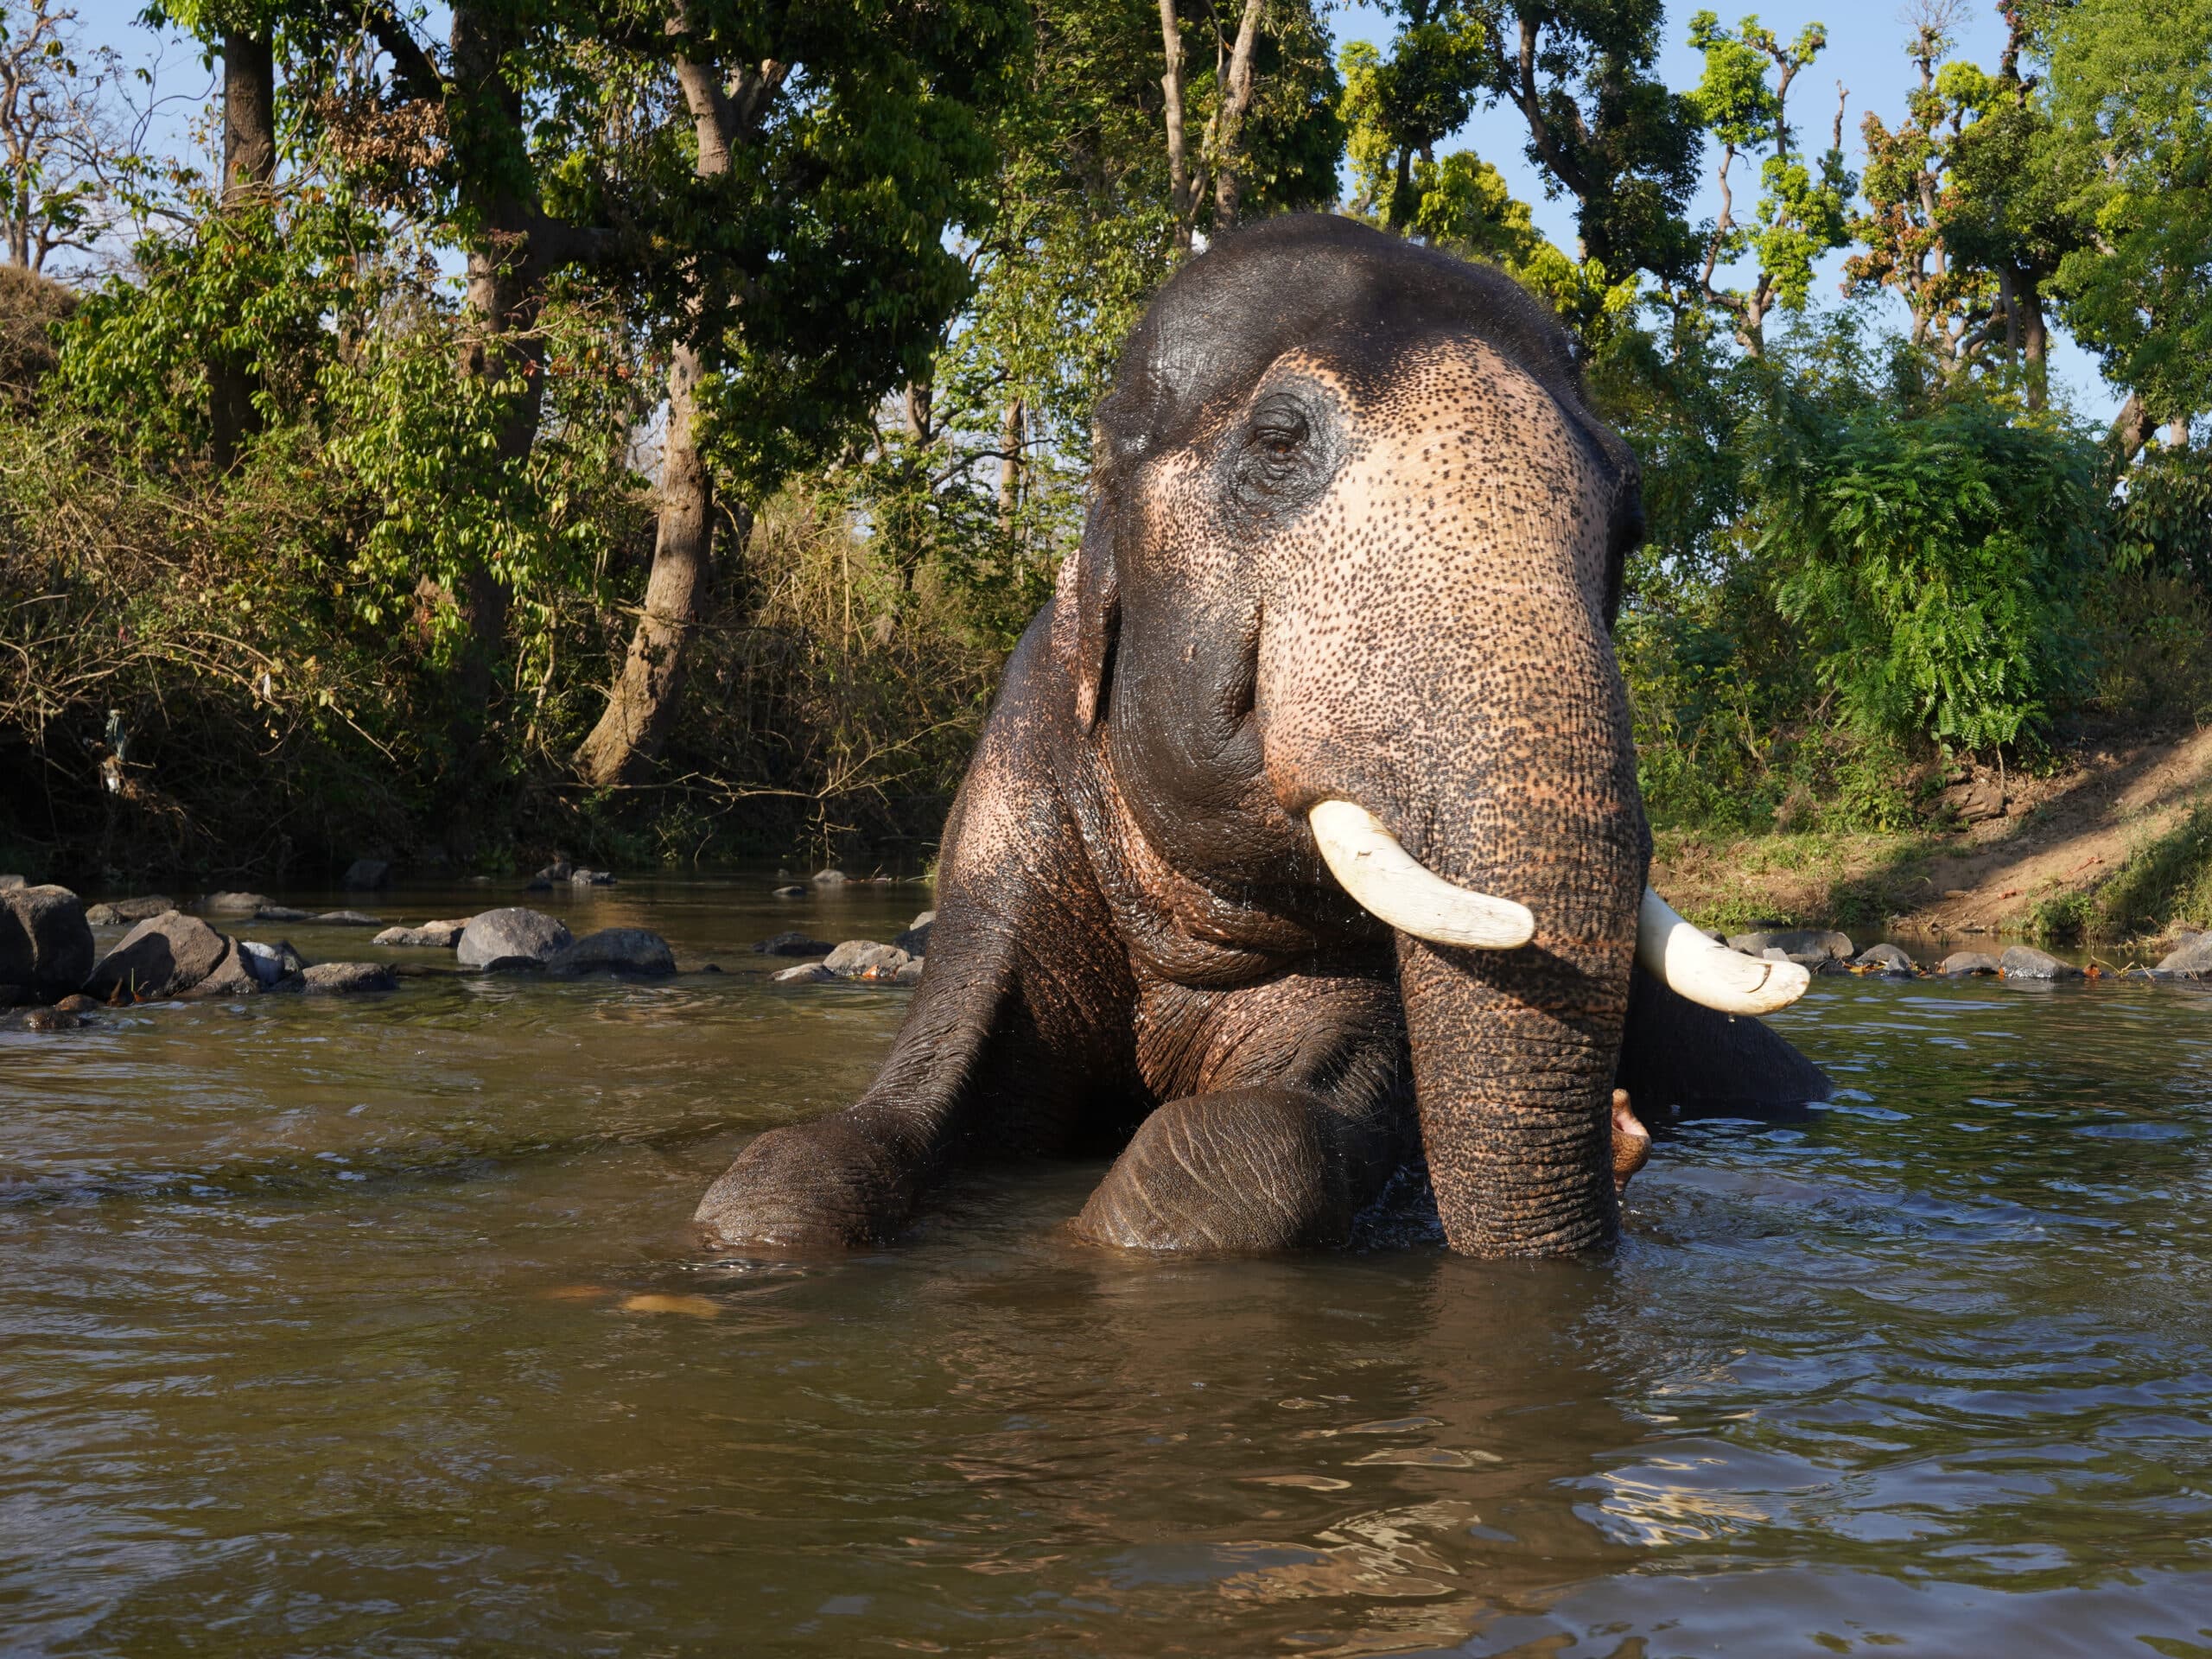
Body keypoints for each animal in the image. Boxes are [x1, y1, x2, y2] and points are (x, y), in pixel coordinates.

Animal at [699, 214, 1828, 1259]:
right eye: (1277, 445)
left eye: (1631, 519)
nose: (1623, 1130)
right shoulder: (1004, 821)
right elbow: (845, 1139)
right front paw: (760, 1219)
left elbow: (1262, 1144)